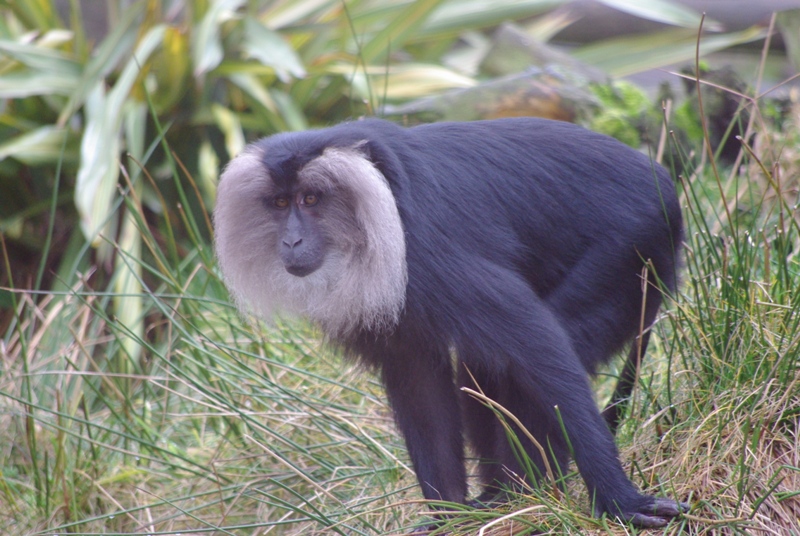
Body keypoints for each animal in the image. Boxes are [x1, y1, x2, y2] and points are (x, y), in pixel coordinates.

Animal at [213, 117, 687, 528]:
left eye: (310, 199)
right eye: (280, 203)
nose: (291, 240)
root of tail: (662, 183)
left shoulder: (425, 251)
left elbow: (538, 344)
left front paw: (620, 501)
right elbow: (419, 384)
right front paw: (449, 517)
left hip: (632, 249)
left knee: (547, 344)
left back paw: (522, 495)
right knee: (483, 370)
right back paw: (501, 497)